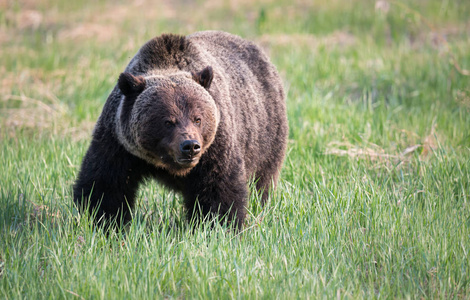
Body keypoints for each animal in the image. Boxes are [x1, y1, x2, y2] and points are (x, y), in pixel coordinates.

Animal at [74, 30, 286, 229]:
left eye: (198, 119)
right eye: (168, 121)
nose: (190, 146)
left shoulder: (215, 146)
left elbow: (219, 188)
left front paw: (220, 225)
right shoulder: (118, 143)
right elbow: (105, 185)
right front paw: (104, 222)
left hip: (266, 135)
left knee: (262, 179)